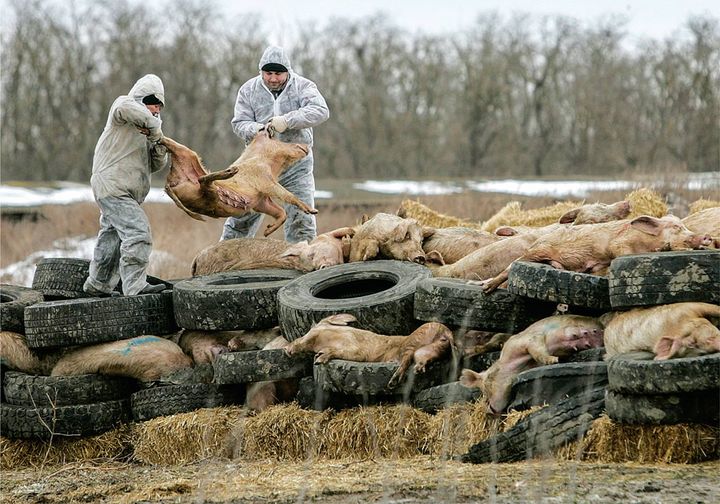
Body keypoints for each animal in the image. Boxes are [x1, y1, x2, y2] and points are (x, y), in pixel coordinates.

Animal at [458, 316, 604, 414]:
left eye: (487, 387)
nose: (489, 411)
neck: (519, 366)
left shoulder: (526, 340)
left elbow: (536, 349)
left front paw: (554, 360)